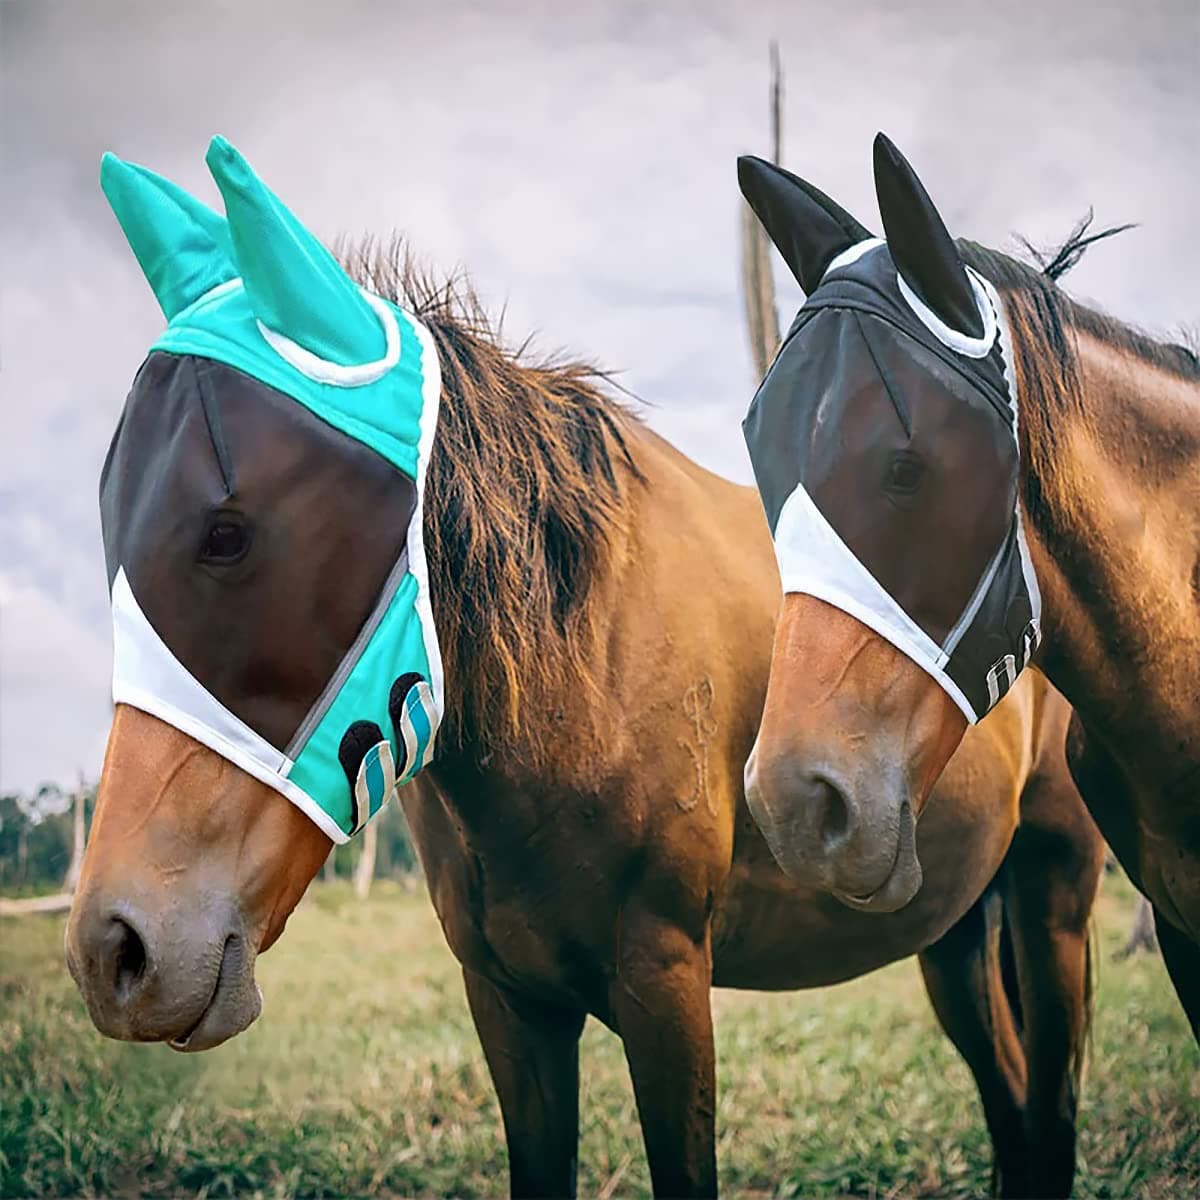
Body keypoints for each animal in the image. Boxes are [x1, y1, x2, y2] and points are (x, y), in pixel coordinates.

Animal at [66, 146, 1102, 1198]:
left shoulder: (666, 985)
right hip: (955, 926)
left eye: (226, 534)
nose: (116, 948)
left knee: (1050, 1103)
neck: (582, 677)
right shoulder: (510, 1005)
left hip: (1052, 889)